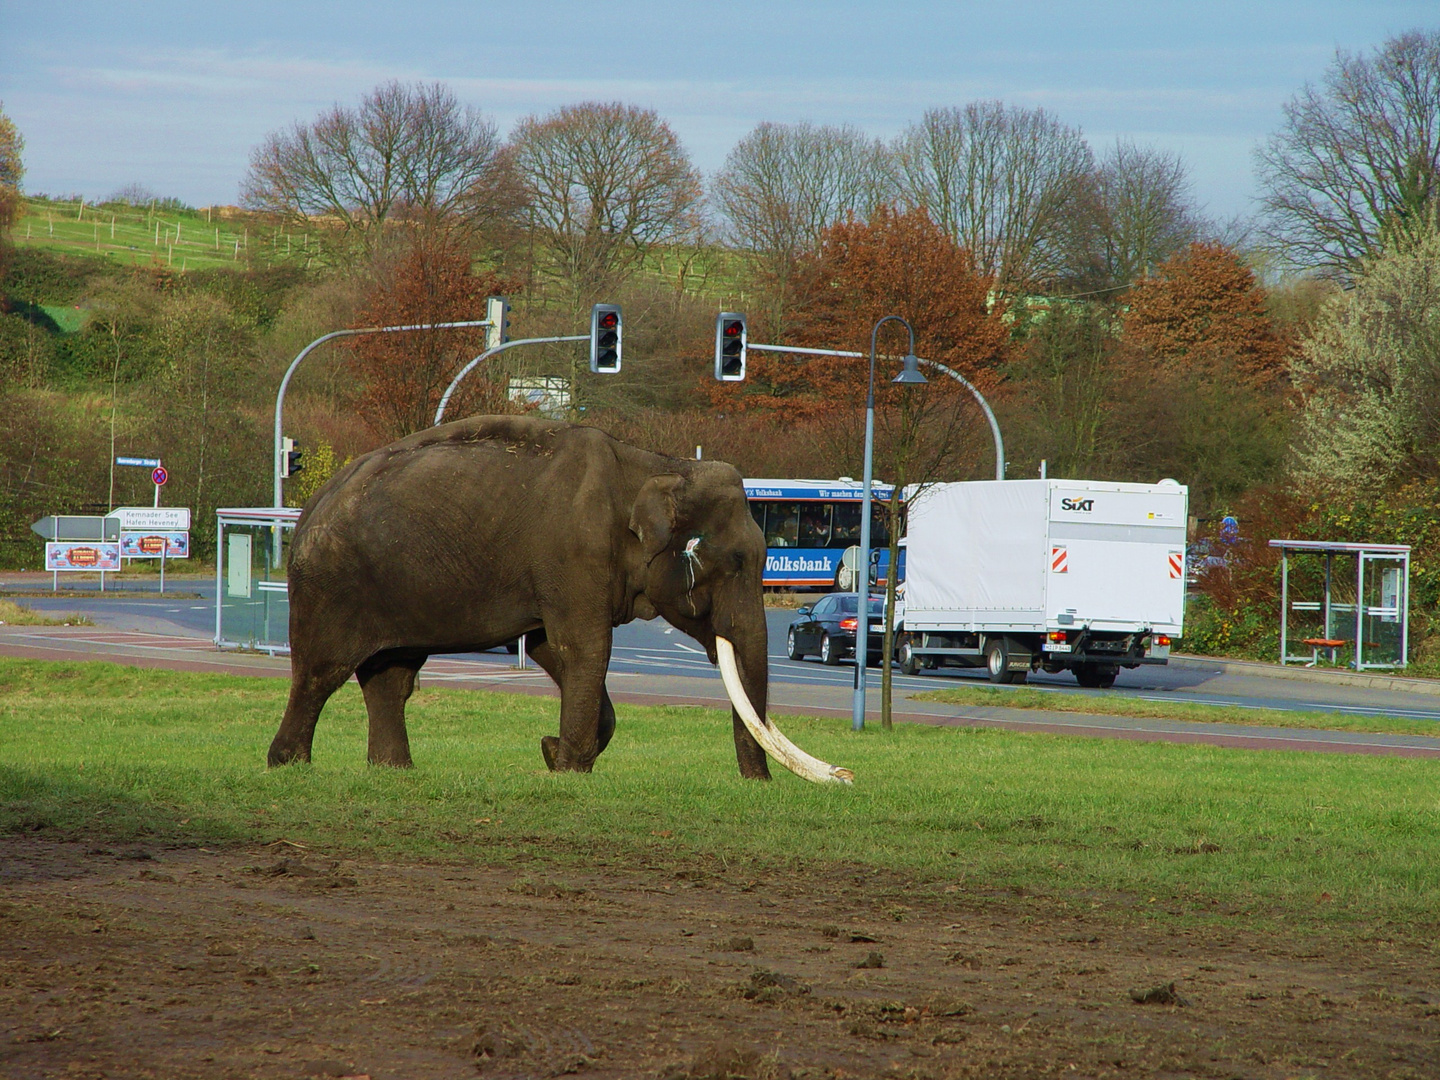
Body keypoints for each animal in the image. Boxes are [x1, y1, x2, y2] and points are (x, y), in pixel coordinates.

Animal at [267, 417, 852, 789]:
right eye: (732, 562)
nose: (761, 785)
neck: (652, 465)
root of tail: (309, 507)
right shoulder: (575, 554)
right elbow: (585, 647)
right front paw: (568, 764)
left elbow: (557, 649)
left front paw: (555, 755)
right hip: (333, 586)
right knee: (320, 673)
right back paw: (288, 766)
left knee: (391, 678)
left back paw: (394, 772)